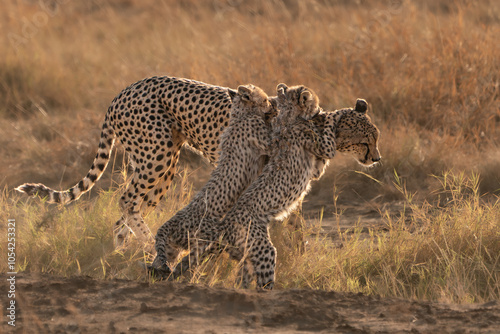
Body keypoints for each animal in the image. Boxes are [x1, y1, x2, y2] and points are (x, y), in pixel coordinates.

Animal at [150, 85, 278, 278]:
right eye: (264, 100)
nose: (271, 104)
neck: (240, 114)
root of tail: (167, 224)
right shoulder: (266, 141)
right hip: (205, 235)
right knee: (195, 256)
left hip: (172, 249)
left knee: (163, 260)